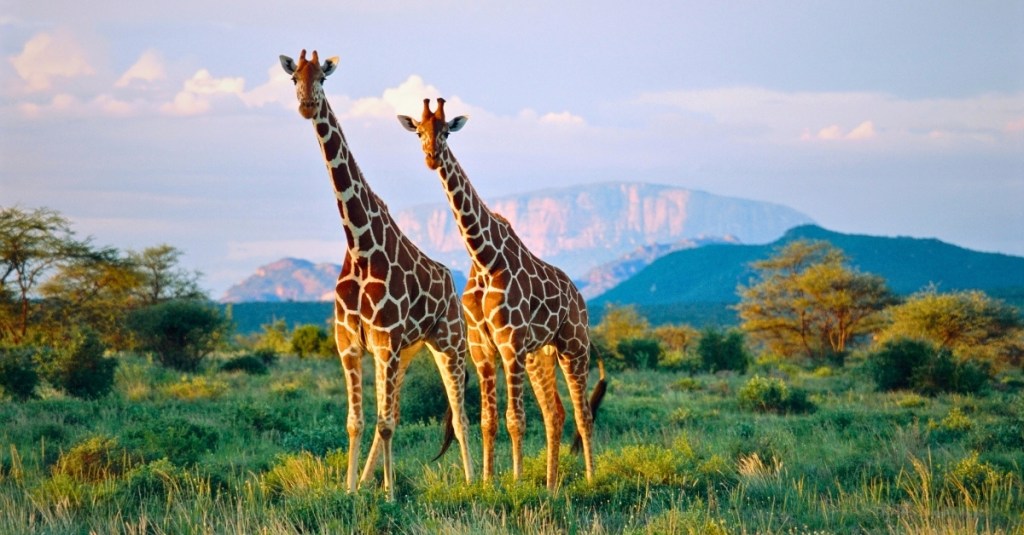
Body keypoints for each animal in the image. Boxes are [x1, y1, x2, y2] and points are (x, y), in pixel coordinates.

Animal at [280, 51, 473, 500]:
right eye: (295, 78)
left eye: (323, 78)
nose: (306, 105)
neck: (360, 245)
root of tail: (450, 283)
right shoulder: (350, 343)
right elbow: (358, 422)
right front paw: (351, 491)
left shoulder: (385, 342)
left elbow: (384, 424)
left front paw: (388, 496)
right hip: (407, 353)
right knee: (396, 413)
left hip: (448, 344)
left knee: (459, 418)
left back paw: (478, 482)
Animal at [399, 98, 600, 490]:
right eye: (419, 131)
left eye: (446, 132)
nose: (431, 156)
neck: (484, 256)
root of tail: (578, 296)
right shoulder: (481, 347)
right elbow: (488, 421)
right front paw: (487, 481)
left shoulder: (510, 344)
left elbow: (515, 419)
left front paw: (517, 481)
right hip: (540, 354)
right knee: (556, 412)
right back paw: (551, 485)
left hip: (573, 346)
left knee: (583, 413)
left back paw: (589, 477)